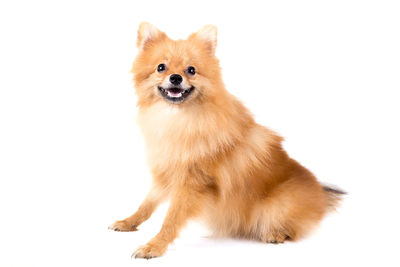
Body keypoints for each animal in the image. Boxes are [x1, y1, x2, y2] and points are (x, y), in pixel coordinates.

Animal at [108, 22, 344, 260]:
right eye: (161, 67)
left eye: (191, 70)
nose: (175, 77)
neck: (179, 120)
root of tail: (320, 193)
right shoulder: (166, 171)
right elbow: (147, 204)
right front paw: (129, 222)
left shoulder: (192, 182)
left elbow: (171, 219)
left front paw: (154, 246)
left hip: (277, 204)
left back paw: (275, 233)